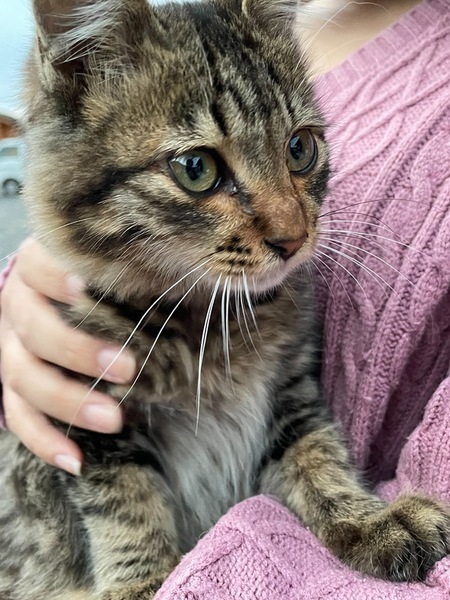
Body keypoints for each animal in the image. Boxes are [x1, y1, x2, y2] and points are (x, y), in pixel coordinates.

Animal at [0, 0, 449, 598]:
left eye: (300, 148)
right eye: (197, 169)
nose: (292, 238)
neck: (206, 323)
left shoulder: (291, 394)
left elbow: (318, 456)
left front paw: (370, 519)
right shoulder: (89, 419)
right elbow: (126, 504)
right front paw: (144, 582)